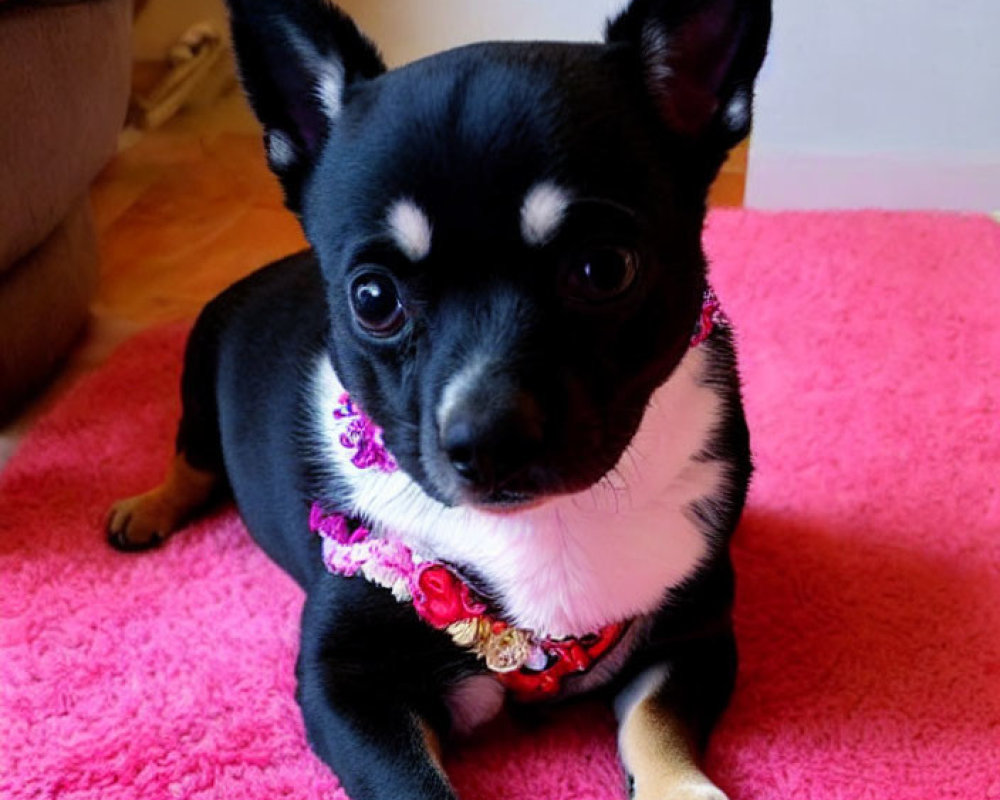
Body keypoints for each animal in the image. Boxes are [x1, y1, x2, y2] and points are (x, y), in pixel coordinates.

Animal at [103, 3, 772, 796]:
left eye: (605, 269)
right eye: (371, 299)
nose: (488, 438)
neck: (549, 523)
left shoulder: (694, 634)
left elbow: (658, 724)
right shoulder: (345, 682)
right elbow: (413, 783)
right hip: (199, 380)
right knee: (191, 459)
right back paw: (144, 509)